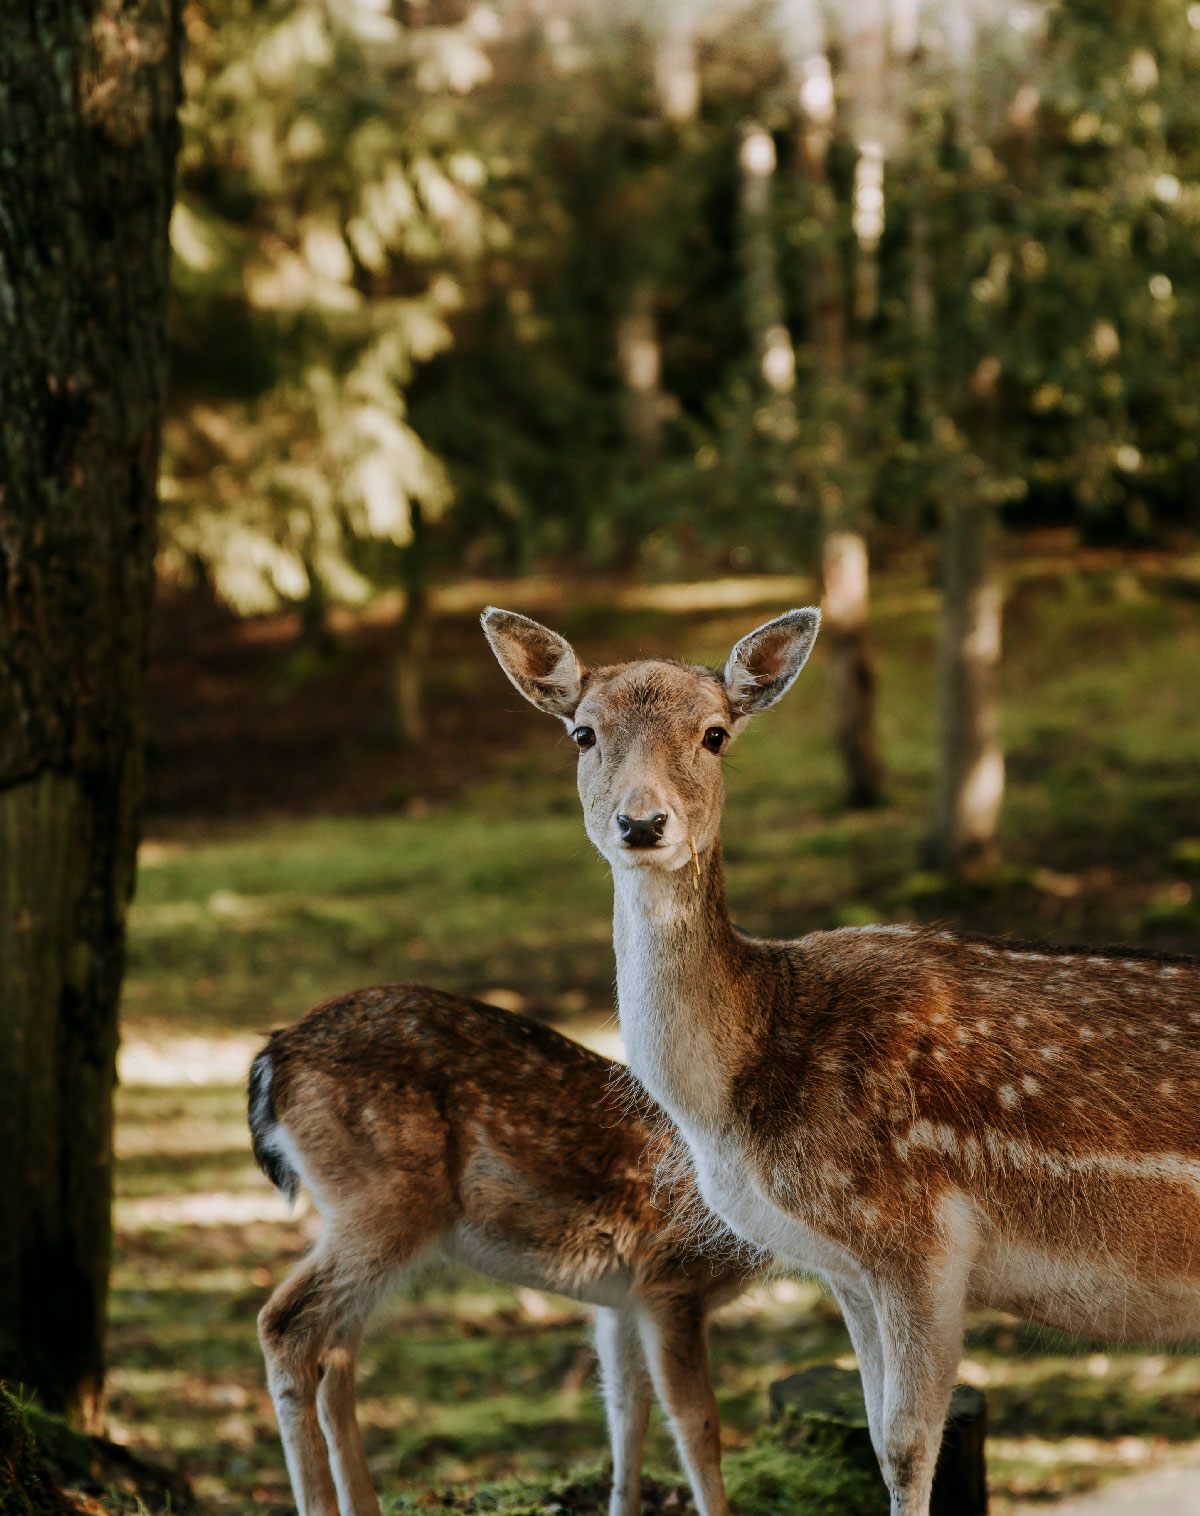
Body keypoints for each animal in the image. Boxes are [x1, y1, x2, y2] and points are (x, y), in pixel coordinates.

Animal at [250, 982, 760, 1516]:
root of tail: (272, 1058)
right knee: (284, 1323)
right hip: (382, 1205)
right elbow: (698, 1423)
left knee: (336, 1354)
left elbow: (625, 1408)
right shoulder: (674, 1279)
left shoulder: (623, 1299)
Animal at [481, 603, 1200, 1516]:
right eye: (583, 732)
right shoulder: (848, 1270)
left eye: (716, 734)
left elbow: (905, 1444)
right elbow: (870, 1425)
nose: (642, 824)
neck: (731, 1113)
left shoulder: (919, 1238)